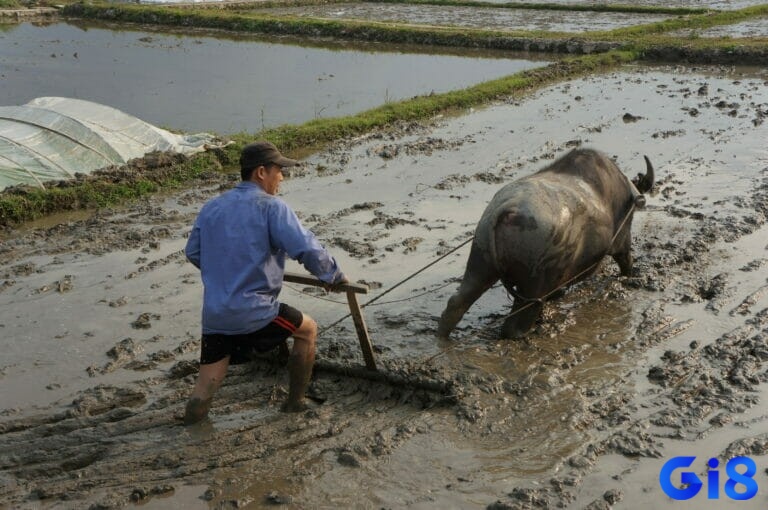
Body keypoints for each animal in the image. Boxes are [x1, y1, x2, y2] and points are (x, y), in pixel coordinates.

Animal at [438, 147, 656, 338]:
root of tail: (506, 210)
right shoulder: (621, 242)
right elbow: (626, 262)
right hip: (534, 286)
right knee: (515, 326)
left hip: (480, 263)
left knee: (457, 304)